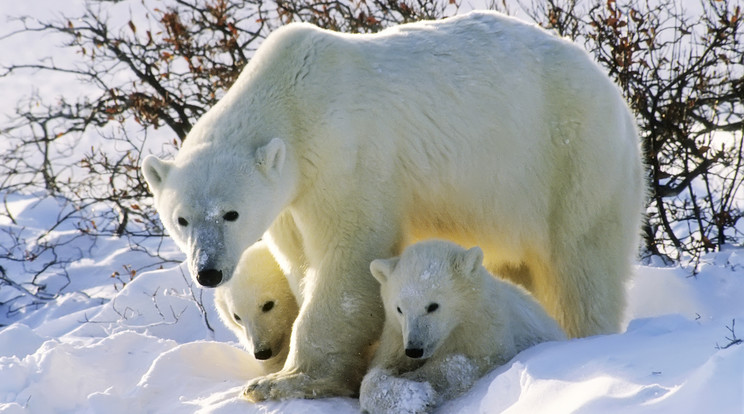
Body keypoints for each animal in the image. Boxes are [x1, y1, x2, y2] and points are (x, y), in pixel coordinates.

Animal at [141, 11, 644, 402]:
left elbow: (349, 258)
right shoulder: (290, 201)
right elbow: (301, 263)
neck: (293, 98)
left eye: (231, 213)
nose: (208, 271)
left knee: (581, 266)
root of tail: (617, 99)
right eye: (181, 219)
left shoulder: (347, 155)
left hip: (572, 162)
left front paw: (282, 382)